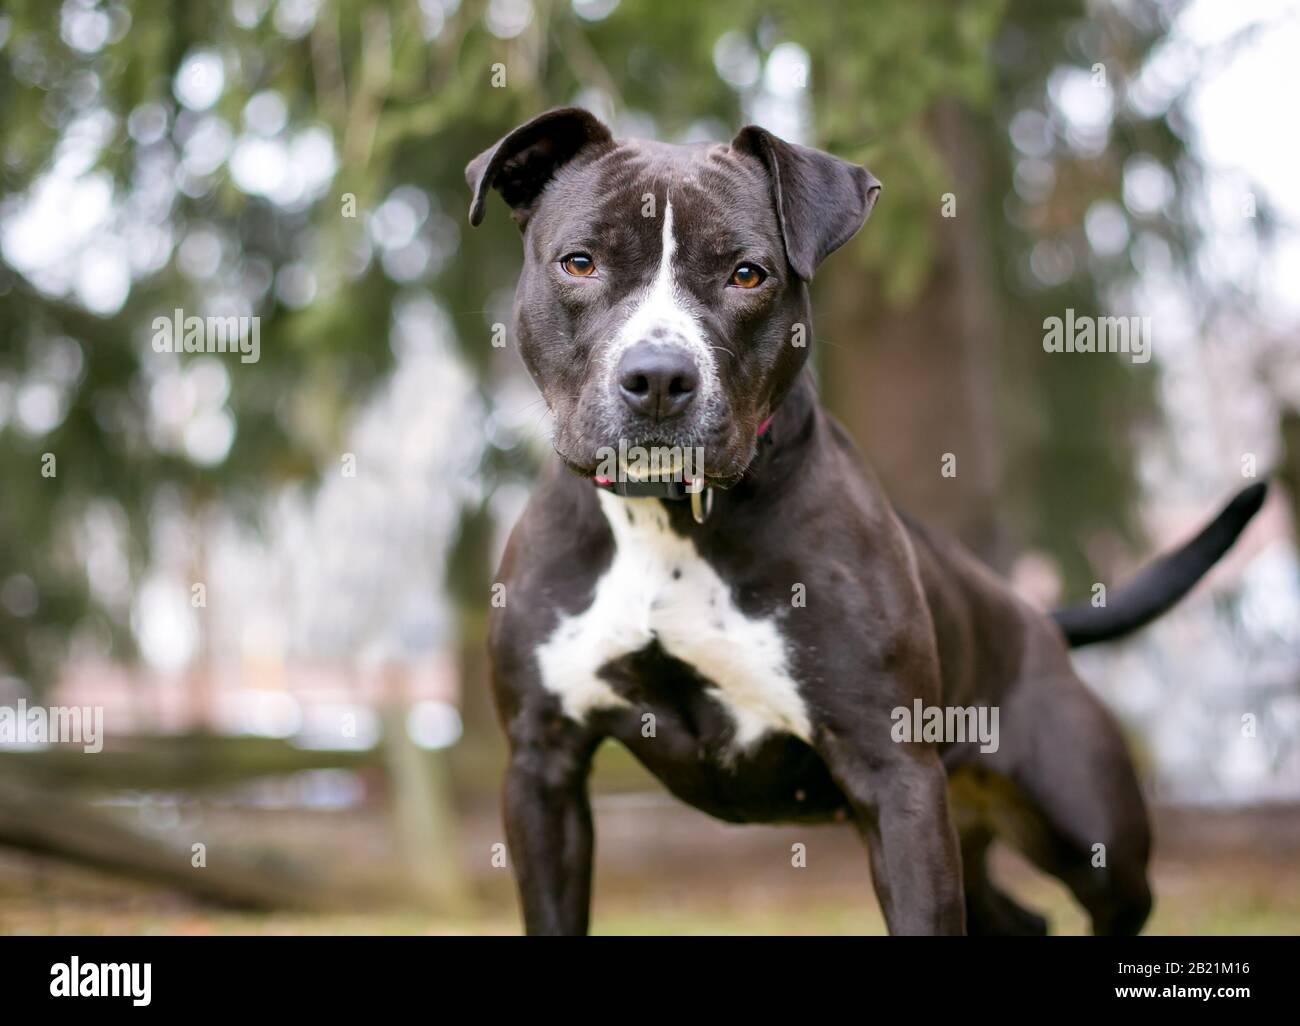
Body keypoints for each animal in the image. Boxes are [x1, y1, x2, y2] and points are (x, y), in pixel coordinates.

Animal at [467, 107, 1268, 931]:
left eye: (747, 274)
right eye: (580, 263)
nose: (658, 377)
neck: (667, 523)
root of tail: (1034, 618)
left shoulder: (894, 776)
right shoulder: (542, 769)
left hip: (1087, 831)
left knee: (1115, 894)